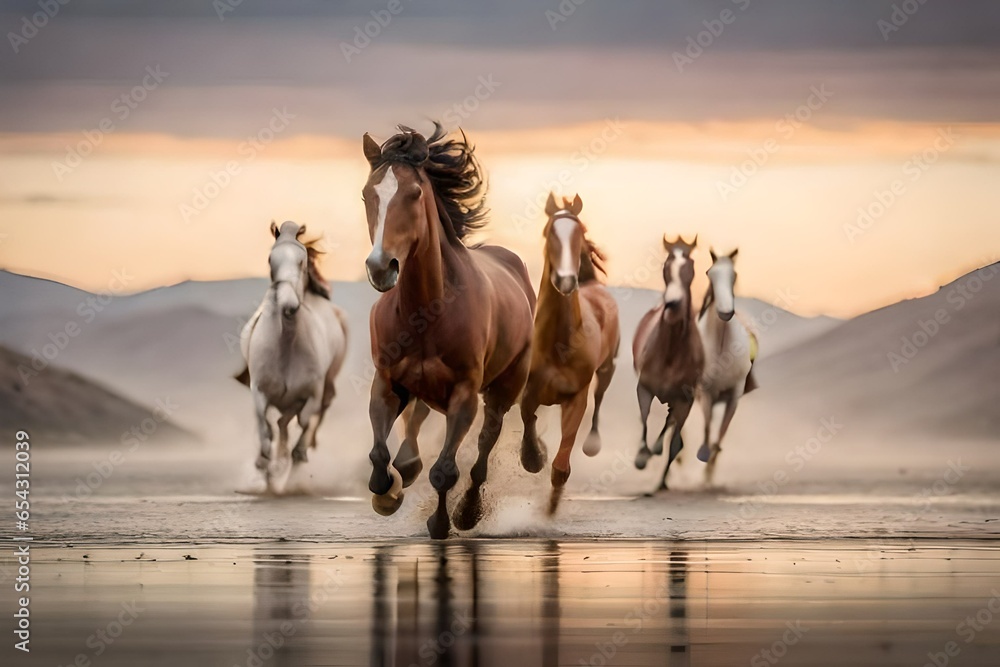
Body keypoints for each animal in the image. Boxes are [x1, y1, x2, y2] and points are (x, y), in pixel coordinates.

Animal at [237, 221, 348, 487]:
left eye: (301, 260)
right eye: (270, 259)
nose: (288, 304)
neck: (286, 347)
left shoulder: (312, 394)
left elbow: (304, 423)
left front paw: (294, 460)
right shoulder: (259, 391)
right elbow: (266, 430)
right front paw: (267, 466)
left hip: (326, 382)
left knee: (307, 415)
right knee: (280, 422)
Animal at [360, 123, 536, 540]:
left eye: (414, 192)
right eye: (367, 194)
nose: (381, 267)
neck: (428, 313)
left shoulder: (464, 393)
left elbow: (445, 471)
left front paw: (442, 522)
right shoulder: (388, 382)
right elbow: (379, 456)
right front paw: (387, 495)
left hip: (506, 386)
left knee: (486, 446)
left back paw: (471, 509)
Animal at [519, 193, 620, 515]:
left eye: (579, 233)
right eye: (548, 232)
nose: (565, 280)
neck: (559, 343)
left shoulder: (576, 396)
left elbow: (562, 463)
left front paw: (552, 506)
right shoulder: (530, 389)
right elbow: (528, 416)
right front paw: (533, 456)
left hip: (607, 368)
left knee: (600, 397)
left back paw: (592, 443)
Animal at [632, 235, 704, 490]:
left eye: (691, 265)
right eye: (666, 265)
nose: (673, 303)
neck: (672, 351)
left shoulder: (685, 399)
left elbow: (672, 442)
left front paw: (659, 479)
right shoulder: (644, 388)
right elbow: (644, 420)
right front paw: (641, 457)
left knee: (673, 435)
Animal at [696, 248, 758, 485]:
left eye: (734, 275)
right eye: (709, 273)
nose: (725, 313)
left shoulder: (734, 394)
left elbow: (721, 433)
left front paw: (710, 470)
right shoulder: (706, 392)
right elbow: (707, 429)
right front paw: (704, 458)